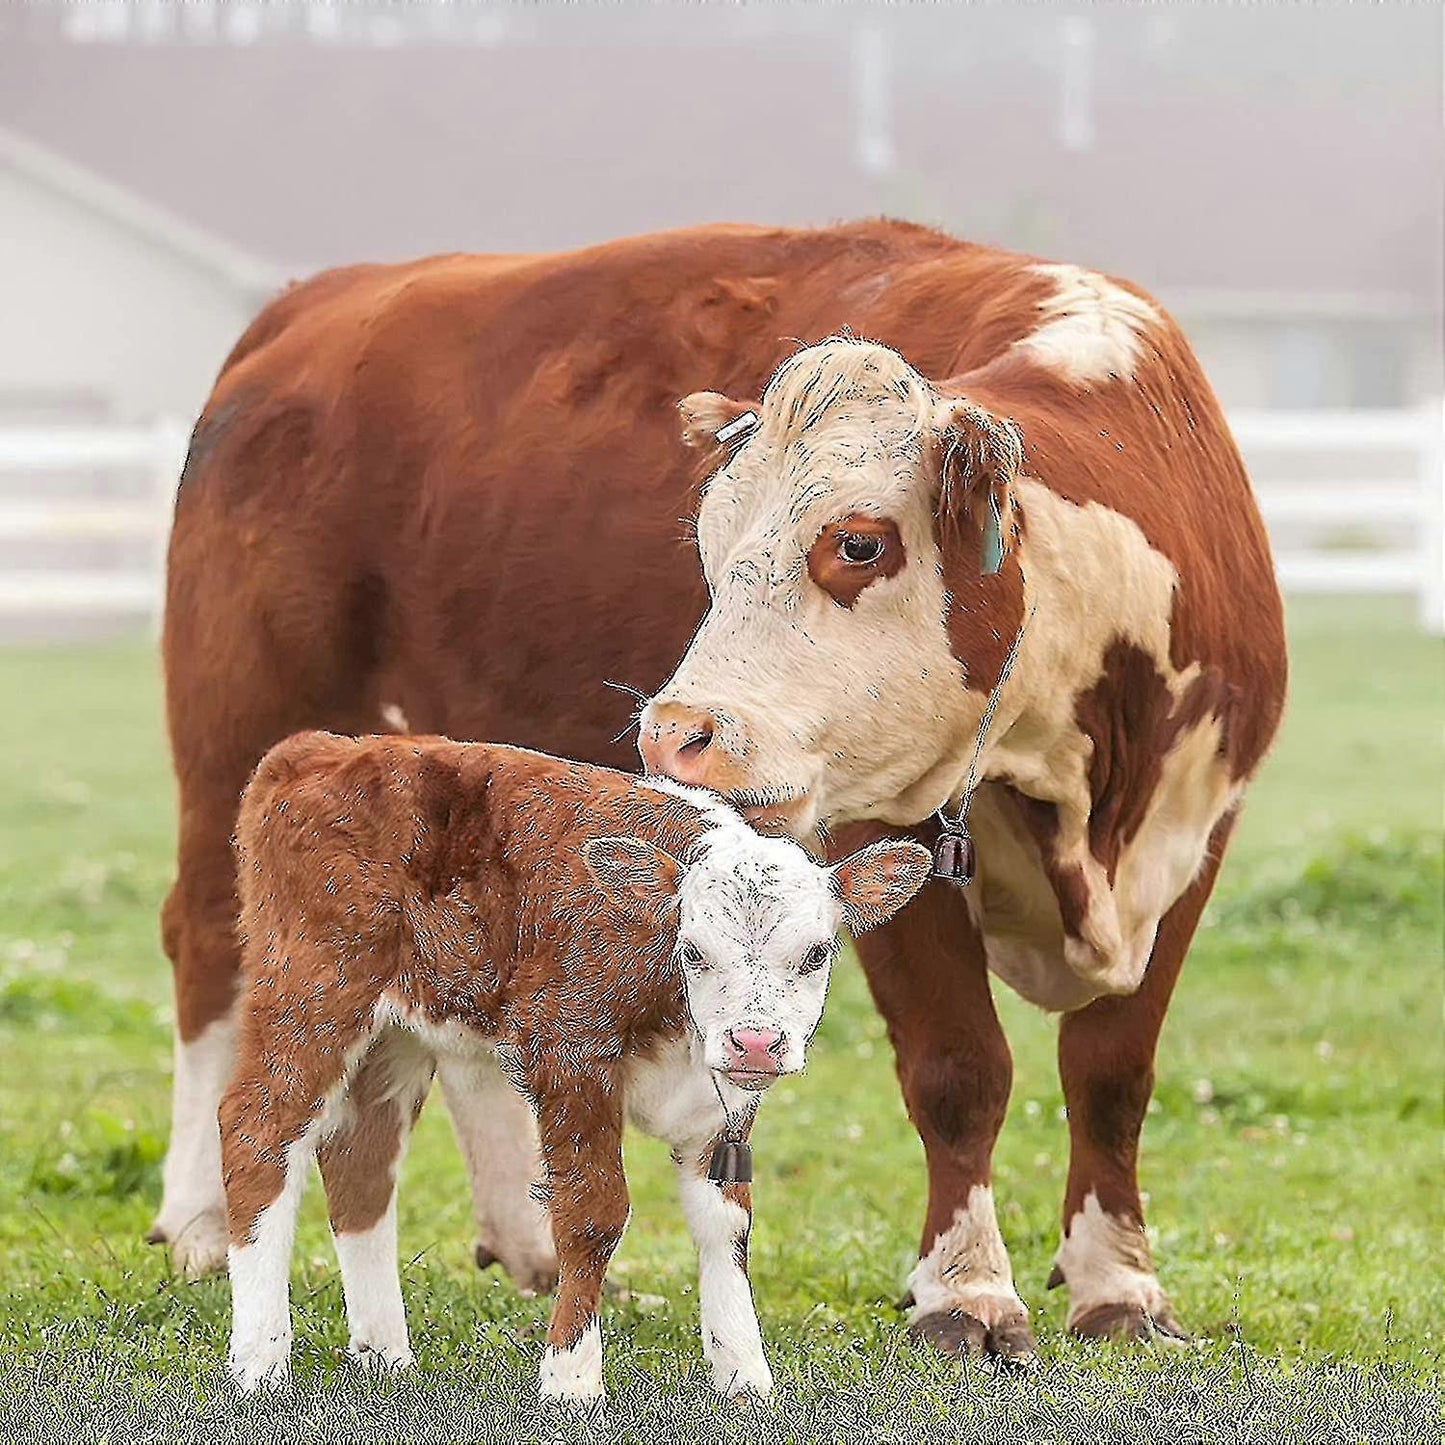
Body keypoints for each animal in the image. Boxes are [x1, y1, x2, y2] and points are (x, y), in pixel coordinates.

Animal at [221, 734, 930, 1398]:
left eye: (816, 953)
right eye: (694, 950)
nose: (753, 1043)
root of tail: (322, 748)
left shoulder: (721, 1104)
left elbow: (726, 1225)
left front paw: (746, 1378)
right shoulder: (570, 1057)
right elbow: (594, 1215)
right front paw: (571, 1380)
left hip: (396, 1034)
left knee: (360, 1157)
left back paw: (385, 1357)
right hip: (312, 991)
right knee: (257, 1136)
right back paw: (261, 1365)